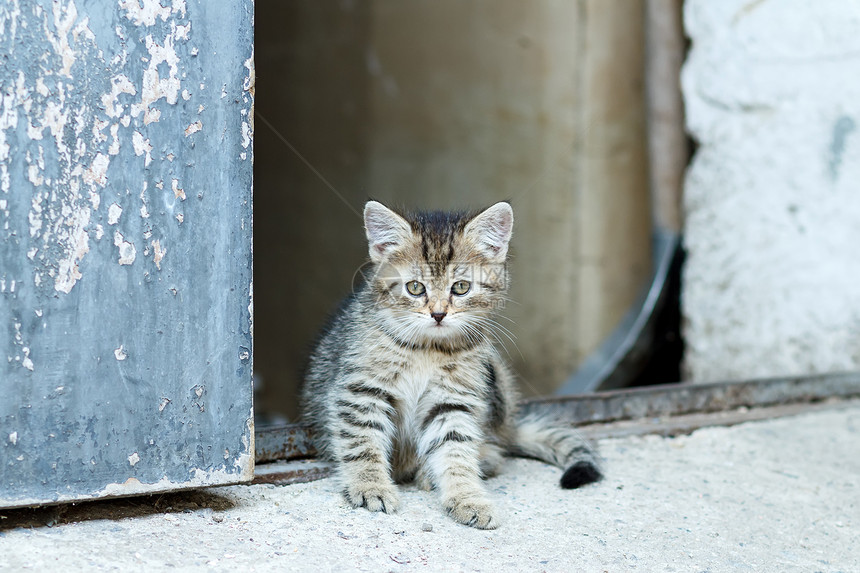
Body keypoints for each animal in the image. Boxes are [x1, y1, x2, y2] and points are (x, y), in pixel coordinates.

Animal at [304, 200, 604, 528]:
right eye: (415, 288)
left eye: (460, 287)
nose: (437, 314)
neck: (427, 349)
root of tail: (509, 426)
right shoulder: (361, 390)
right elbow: (362, 442)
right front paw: (369, 485)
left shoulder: (452, 400)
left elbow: (456, 450)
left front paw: (467, 496)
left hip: (495, 377)